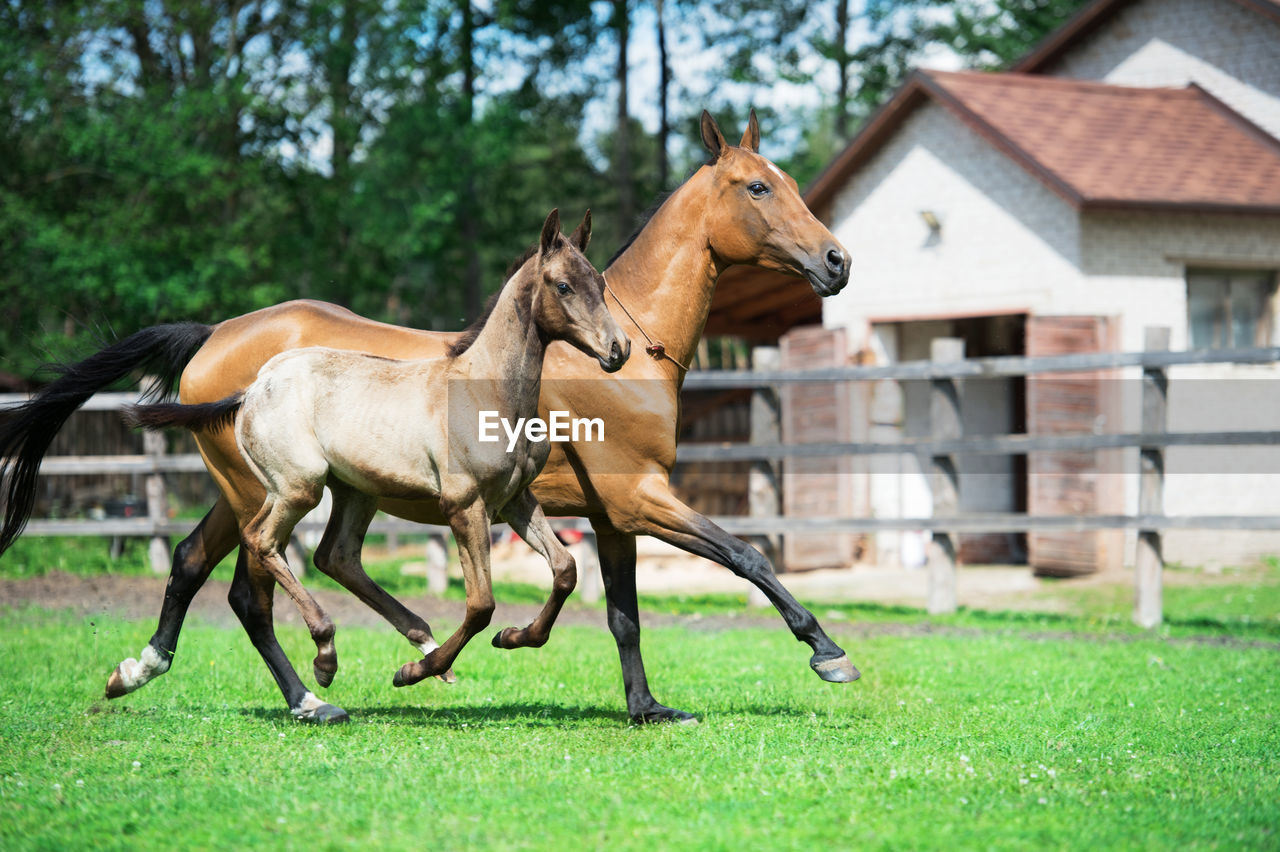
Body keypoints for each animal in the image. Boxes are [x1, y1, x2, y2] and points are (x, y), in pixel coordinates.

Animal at [5, 109, 860, 721]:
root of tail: (216, 335)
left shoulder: (611, 514)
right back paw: (316, 690)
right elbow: (749, 557)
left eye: (783, 179)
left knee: (202, 563)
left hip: (268, 490)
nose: (837, 262)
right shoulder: (637, 497)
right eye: (757, 187)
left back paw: (149, 672)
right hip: (263, 492)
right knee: (251, 586)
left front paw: (646, 707)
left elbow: (621, 613)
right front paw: (828, 652)